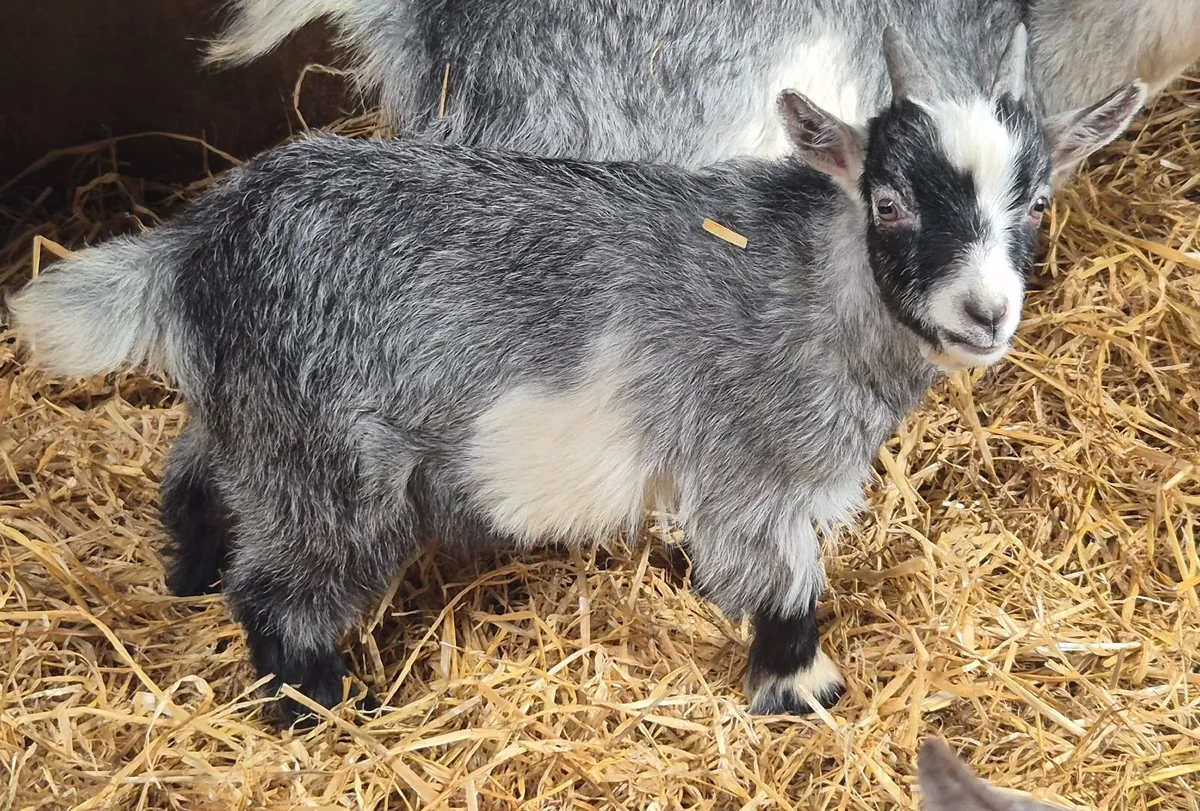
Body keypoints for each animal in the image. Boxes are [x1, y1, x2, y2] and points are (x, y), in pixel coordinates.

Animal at [8, 26, 1143, 727]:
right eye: (892, 204)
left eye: (1039, 203)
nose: (986, 314)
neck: (811, 278)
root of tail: (198, 240)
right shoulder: (751, 469)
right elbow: (783, 587)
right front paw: (806, 692)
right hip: (331, 462)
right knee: (285, 594)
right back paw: (325, 711)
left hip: (252, 411)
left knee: (194, 473)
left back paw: (189, 574)